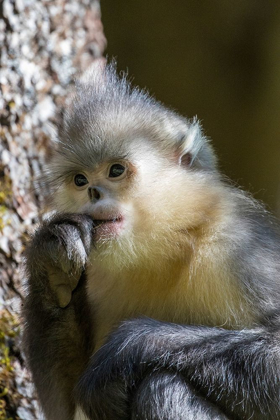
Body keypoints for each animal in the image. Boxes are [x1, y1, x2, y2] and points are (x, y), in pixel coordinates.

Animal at [23, 63, 280, 420]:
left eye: (116, 170)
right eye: (80, 180)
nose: (93, 193)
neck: (166, 248)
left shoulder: (242, 250)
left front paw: (127, 350)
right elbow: (62, 410)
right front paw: (51, 263)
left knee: (162, 385)